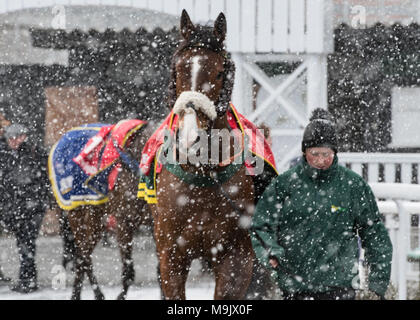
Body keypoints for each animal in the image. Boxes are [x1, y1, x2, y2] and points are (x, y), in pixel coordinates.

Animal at [48, 120, 156, 300]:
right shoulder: (124, 222)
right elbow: (128, 272)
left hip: (95, 219)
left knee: (83, 255)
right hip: (76, 213)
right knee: (84, 256)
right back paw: (93, 293)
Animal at [148, 10, 276, 300]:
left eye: (218, 73)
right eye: (178, 69)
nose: (189, 137)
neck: (203, 175)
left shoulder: (237, 255)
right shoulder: (171, 254)